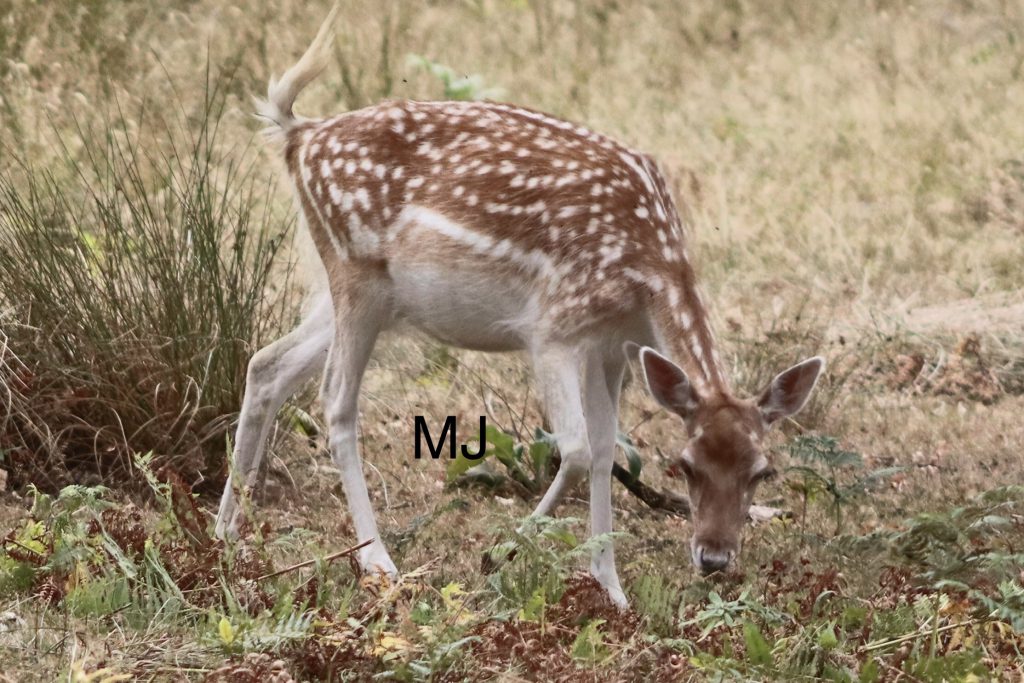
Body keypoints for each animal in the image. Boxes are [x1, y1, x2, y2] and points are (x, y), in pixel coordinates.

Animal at [214, 7, 825, 607]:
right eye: (687, 466)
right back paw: (378, 561)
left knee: (266, 364)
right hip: (352, 268)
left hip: (359, 293)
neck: (645, 279)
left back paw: (225, 536)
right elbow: (575, 449)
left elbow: (605, 449)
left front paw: (611, 588)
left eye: (762, 471)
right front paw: (501, 557)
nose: (714, 557)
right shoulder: (553, 327)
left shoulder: (612, 345)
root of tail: (298, 136)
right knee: (336, 400)